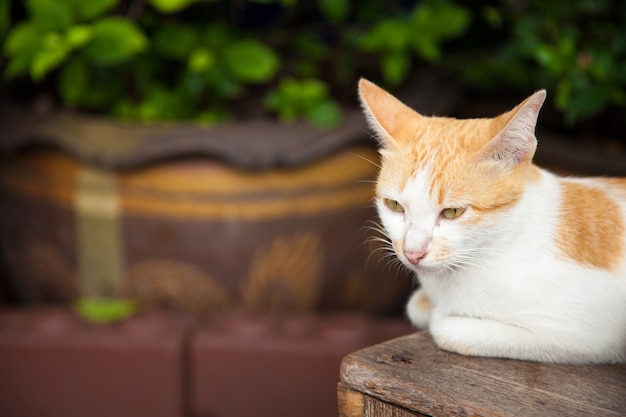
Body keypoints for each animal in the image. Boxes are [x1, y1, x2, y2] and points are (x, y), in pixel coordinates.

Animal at [356, 78, 624, 364]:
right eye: (394, 206)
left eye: (452, 212)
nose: (412, 253)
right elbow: (416, 305)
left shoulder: (593, 332)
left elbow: (445, 328)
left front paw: (440, 315)